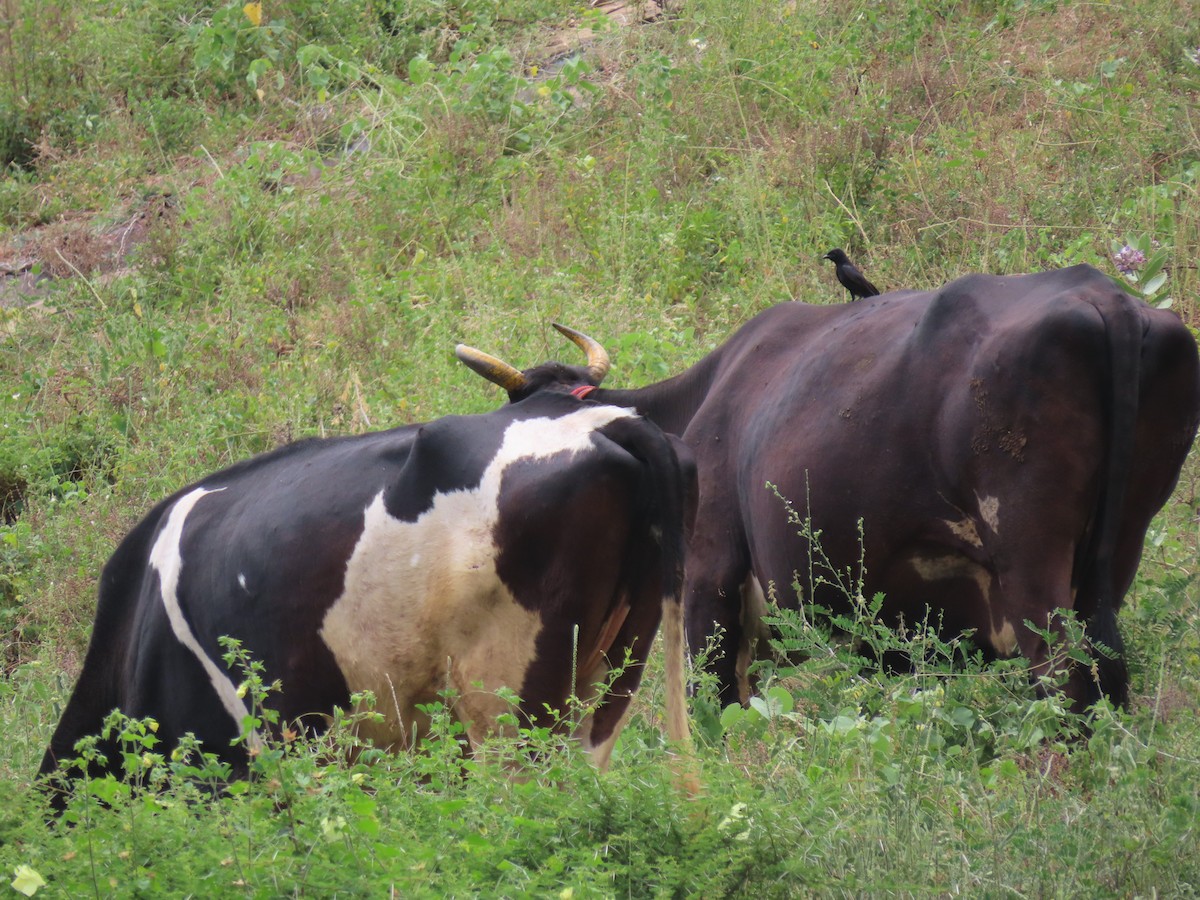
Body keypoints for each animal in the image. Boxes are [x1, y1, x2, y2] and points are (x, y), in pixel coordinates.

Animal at [456, 264, 1200, 715]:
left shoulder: (710, 577)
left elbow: (714, 699)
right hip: (1113, 554)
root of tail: (1100, 296)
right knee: (1105, 667)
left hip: (1028, 553)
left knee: (1064, 672)